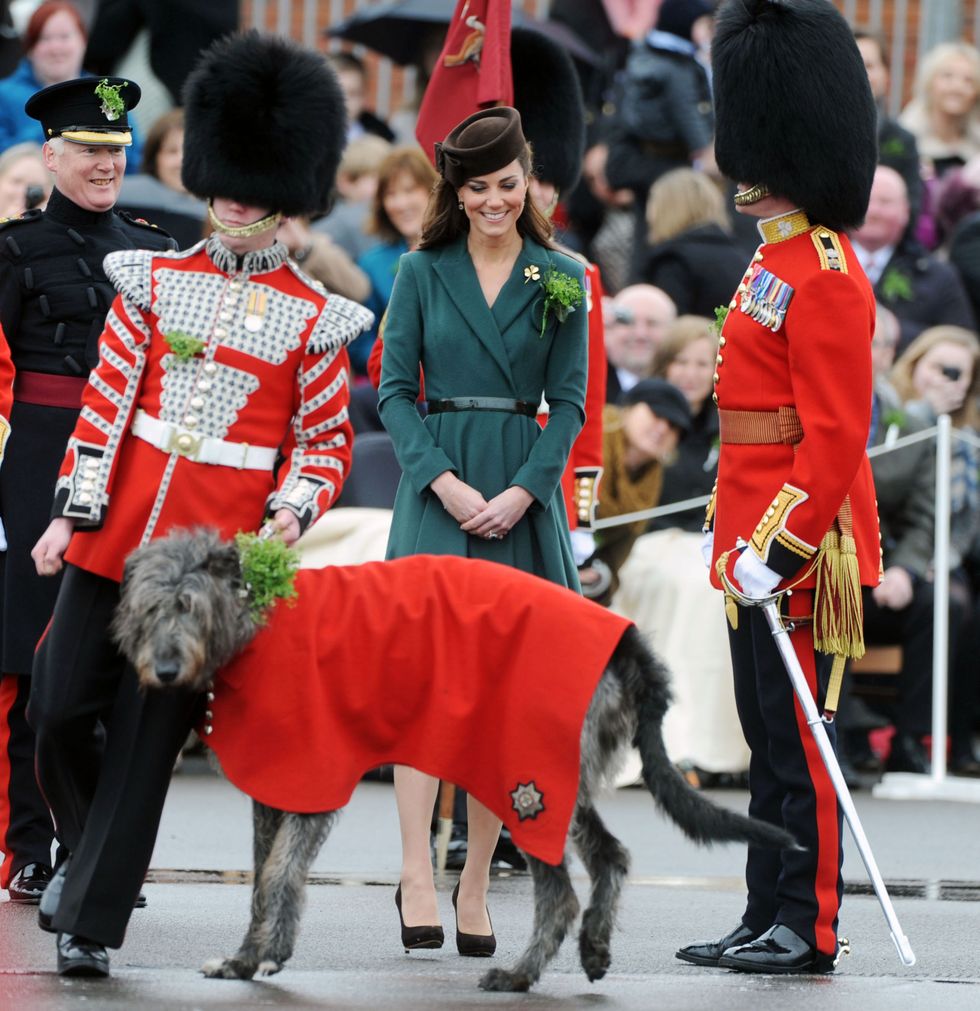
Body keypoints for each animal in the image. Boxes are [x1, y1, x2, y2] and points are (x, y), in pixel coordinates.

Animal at [110, 533, 792, 990]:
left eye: (190, 606)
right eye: (149, 608)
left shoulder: (314, 776)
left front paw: (256, 959)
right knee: (611, 856)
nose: (164, 670)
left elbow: (278, 874)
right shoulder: (275, 787)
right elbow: (262, 879)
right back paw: (593, 952)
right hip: (560, 779)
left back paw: (519, 976)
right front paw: (253, 958)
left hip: (527, 780)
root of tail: (625, 640)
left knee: (561, 892)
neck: (261, 613)